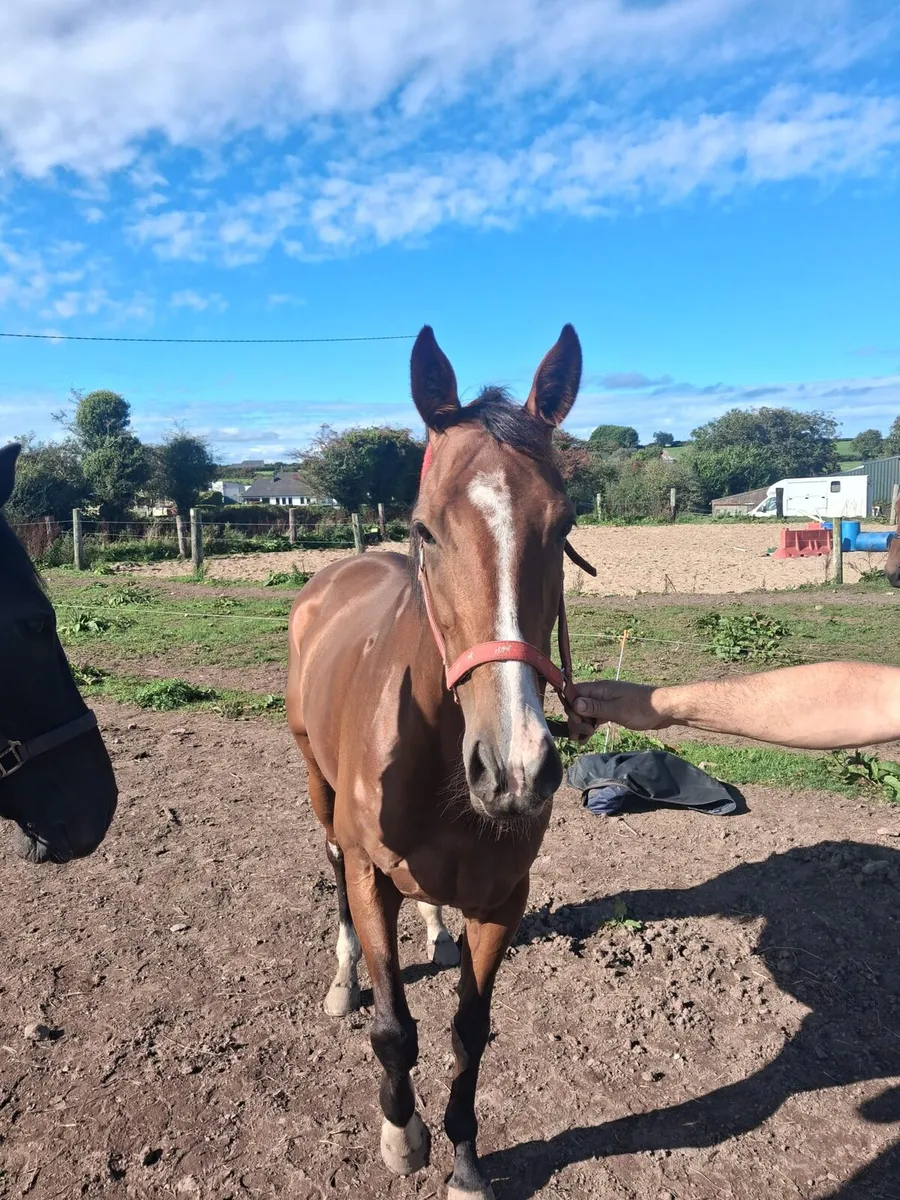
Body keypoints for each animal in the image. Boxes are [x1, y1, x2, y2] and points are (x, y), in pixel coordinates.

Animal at [287, 324, 593, 1199]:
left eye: (563, 526)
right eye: (425, 528)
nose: (515, 769)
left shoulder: (502, 899)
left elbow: (470, 1030)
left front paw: (463, 1159)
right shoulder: (370, 872)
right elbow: (396, 1027)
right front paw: (403, 1137)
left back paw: (435, 932)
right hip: (319, 793)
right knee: (334, 879)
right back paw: (343, 982)